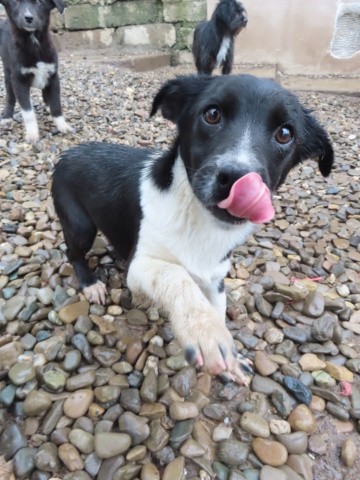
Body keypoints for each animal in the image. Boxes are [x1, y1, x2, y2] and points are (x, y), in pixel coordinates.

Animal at [0, 0, 71, 142]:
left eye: (38, 2)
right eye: (16, 2)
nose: (28, 18)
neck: (34, 43)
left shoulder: (53, 76)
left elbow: (56, 104)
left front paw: (62, 125)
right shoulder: (19, 81)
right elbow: (28, 112)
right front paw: (32, 134)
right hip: (8, 74)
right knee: (10, 97)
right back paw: (7, 117)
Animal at [51, 74, 334, 382]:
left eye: (285, 133)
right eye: (212, 114)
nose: (236, 179)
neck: (198, 221)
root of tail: (67, 152)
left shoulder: (215, 277)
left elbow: (218, 309)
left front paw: (231, 358)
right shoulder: (140, 266)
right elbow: (175, 274)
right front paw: (205, 331)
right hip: (80, 226)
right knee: (73, 252)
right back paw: (90, 284)